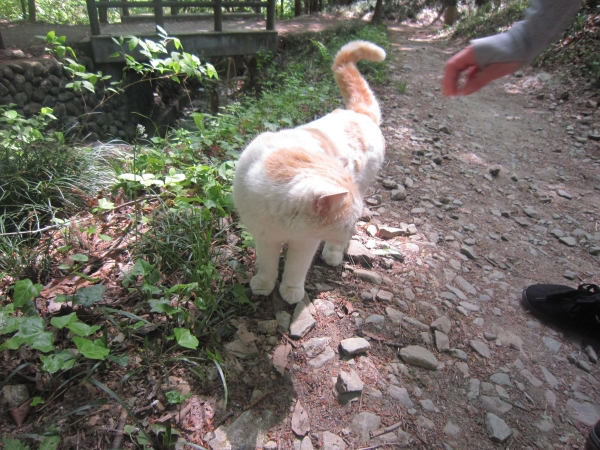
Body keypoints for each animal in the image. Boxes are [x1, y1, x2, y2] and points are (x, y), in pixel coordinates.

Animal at [232, 40, 386, 304]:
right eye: (347, 223)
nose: (353, 231)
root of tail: (358, 113)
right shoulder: (264, 236)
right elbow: (267, 264)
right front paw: (263, 284)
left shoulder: (306, 242)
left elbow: (295, 268)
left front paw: (291, 291)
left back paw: (334, 252)